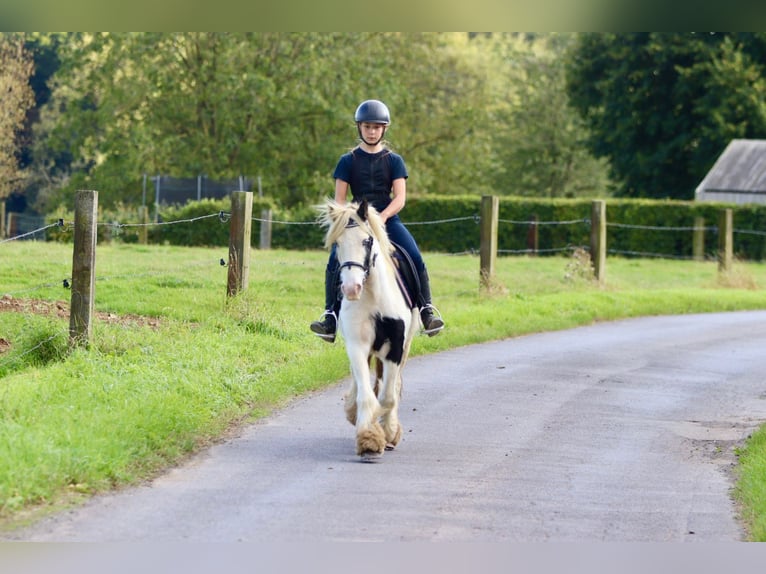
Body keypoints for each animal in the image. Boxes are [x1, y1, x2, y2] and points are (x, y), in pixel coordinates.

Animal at [318, 200, 420, 462]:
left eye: (366, 241)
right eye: (338, 243)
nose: (351, 288)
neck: (373, 296)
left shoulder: (396, 346)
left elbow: (388, 395)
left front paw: (388, 432)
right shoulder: (357, 344)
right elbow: (366, 393)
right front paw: (368, 439)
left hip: (405, 345)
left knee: (392, 385)